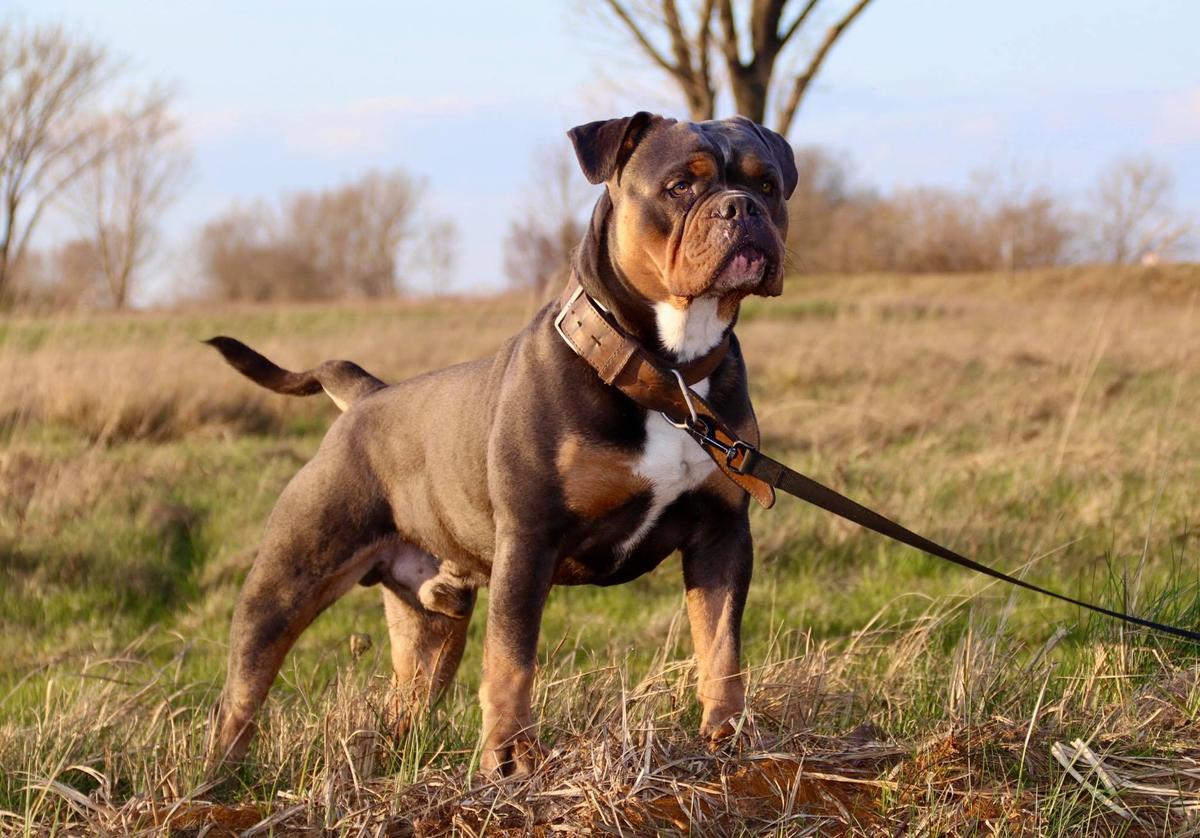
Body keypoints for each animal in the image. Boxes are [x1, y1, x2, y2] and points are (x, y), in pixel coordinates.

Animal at [204, 112, 796, 777]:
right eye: (679, 187)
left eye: (768, 184)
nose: (742, 207)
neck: (666, 369)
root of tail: (363, 398)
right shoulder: (529, 539)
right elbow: (512, 656)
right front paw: (510, 756)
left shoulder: (721, 534)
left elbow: (720, 646)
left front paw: (729, 736)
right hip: (288, 580)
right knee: (242, 689)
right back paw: (215, 778)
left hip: (432, 625)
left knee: (406, 698)